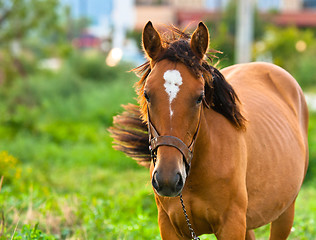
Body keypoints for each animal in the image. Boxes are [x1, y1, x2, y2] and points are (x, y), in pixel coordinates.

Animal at [110, 21, 308, 239]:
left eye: (199, 97)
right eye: (147, 94)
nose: (168, 179)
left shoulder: (231, 225)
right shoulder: (169, 226)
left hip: (285, 213)